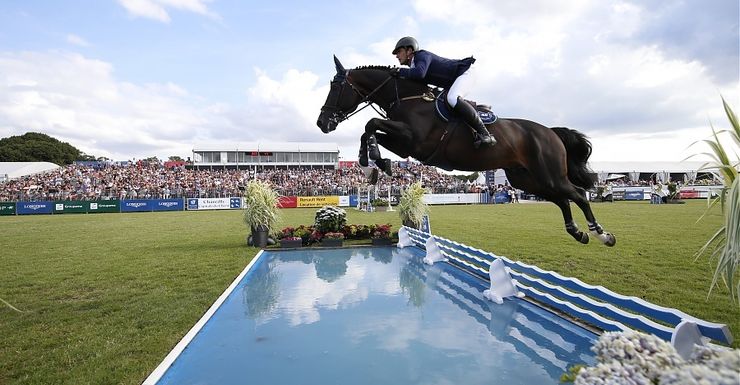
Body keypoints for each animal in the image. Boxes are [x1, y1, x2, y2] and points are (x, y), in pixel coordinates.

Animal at [316, 55, 616, 244]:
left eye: (336, 87)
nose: (322, 123)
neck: (409, 98)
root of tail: (550, 132)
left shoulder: (413, 140)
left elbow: (370, 123)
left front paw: (374, 162)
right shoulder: (404, 145)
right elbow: (370, 129)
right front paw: (373, 164)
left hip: (549, 174)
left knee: (578, 194)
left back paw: (603, 235)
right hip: (527, 179)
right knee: (563, 199)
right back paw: (579, 233)